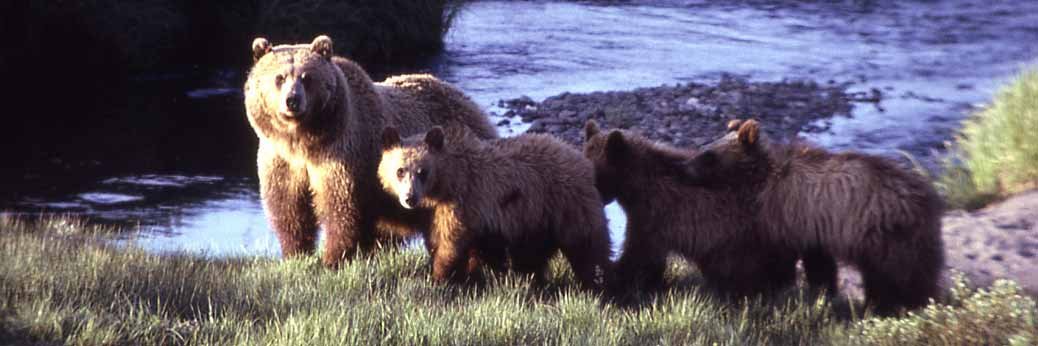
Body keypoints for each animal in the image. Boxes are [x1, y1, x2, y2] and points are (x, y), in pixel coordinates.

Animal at [247, 35, 498, 265]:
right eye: (279, 77)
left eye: (307, 77)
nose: (292, 100)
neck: (304, 142)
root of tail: (472, 104)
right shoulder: (282, 161)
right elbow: (288, 207)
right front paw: (295, 253)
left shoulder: (342, 155)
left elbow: (341, 206)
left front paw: (332, 258)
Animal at [379, 126, 606, 288]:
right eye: (400, 170)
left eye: (422, 171)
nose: (409, 198)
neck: (443, 185)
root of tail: (579, 158)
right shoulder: (434, 214)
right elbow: (439, 240)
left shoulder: (463, 202)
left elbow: (450, 243)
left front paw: (440, 276)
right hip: (536, 218)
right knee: (532, 253)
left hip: (565, 203)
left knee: (586, 247)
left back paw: (596, 283)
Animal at [585, 121, 801, 299]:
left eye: (595, 174)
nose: (598, 200)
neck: (636, 188)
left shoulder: (654, 216)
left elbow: (639, 254)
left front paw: (619, 280)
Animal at [685, 119, 946, 311]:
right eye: (703, 148)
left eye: (708, 156)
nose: (684, 167)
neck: (761, 177)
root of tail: (926, 197)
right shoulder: (811, 226)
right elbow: (819, 263)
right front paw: (822, 292)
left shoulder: (786, 212)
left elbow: (780, 256)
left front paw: (777, 285)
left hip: (886, 234)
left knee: (897, 274)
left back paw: (896, 305)